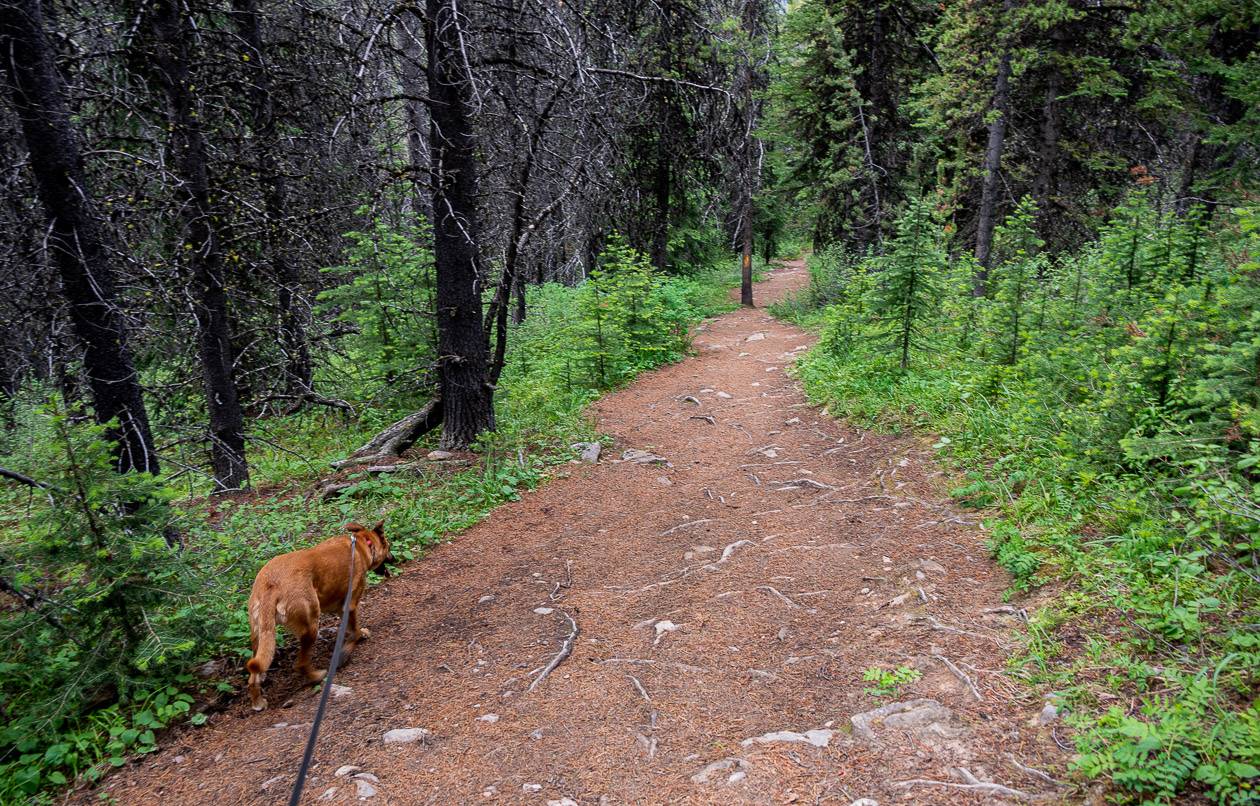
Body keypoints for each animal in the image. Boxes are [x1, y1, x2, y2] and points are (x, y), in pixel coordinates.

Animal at [241, 518, 388, 710]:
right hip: (310, 625)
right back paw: (317, 676)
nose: (393, 558)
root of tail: (272, 585)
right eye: (389, 547)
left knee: (253, 675)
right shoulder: (350, 603)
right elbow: (354, 628)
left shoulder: (339, 606)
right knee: (300, 664)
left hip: (259, 633)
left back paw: (258, 701)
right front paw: (354, 642)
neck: (362, 543)